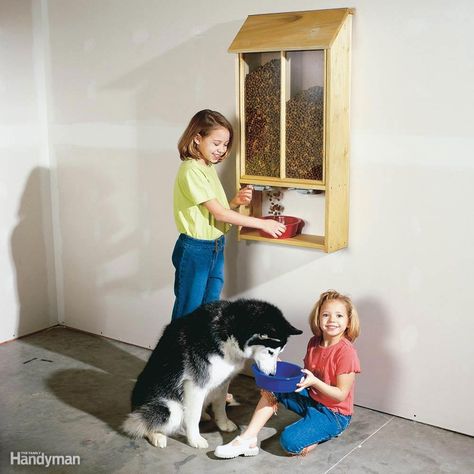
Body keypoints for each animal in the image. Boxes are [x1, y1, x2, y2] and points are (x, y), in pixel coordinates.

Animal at [122, 298, 300, 450]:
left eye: (279, 353)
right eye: (270, 352)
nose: (273, 375)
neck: (229, 334)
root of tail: (133, 404)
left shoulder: (223, 381)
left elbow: (220, 406)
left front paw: (223, 423)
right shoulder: (195, 386)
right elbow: (192, 416)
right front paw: (195, 439)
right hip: (170, 408)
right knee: (140, 423)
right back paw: (157, 435)